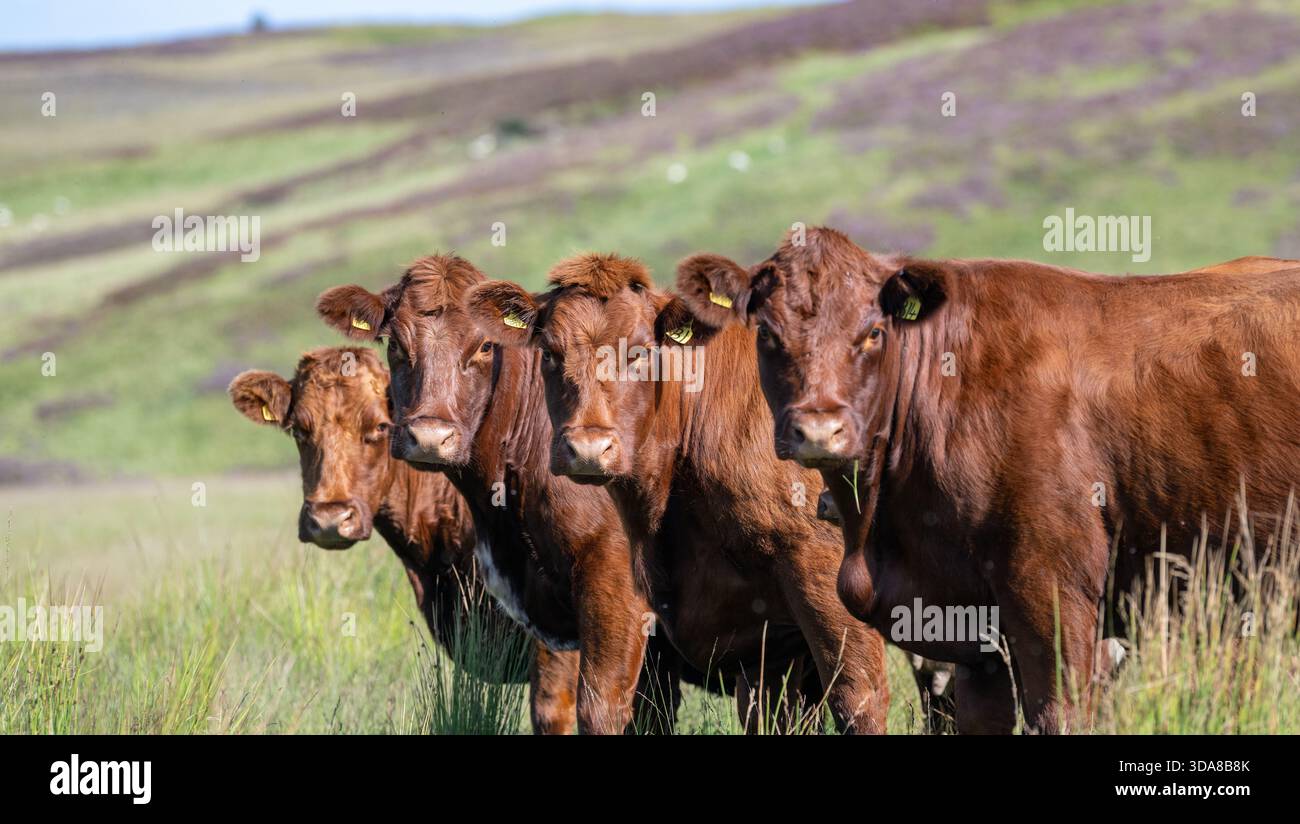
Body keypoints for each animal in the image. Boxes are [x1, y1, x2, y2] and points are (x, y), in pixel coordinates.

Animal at [465, 253, 891, 733]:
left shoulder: (819, 572)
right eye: (551, 354)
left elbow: (857, 699)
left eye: (638, 353)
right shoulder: (764, 636)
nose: (589, 448)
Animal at [672, 225, 1300, 733]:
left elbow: (1059, 713)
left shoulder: (1052, 590)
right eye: (767, 334)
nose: (818, 430)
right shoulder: (968, 631)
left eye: (873, 332)